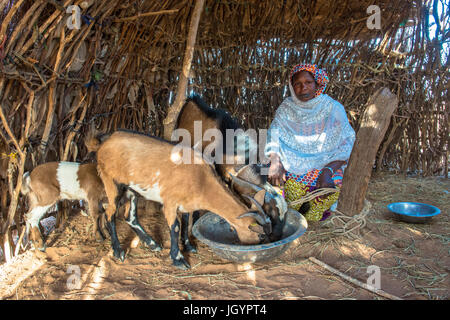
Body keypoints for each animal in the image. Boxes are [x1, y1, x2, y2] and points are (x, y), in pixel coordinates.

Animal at [91, 130, 270, 270]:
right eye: (261, 235)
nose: (261, 244)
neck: (201, 180)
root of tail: (104, 144)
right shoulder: (170, 203)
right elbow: (175, 227)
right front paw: (178, 259)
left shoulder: (187, 205)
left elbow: (185, 223)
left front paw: (189, 246)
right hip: (111, 182)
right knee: (110, 213)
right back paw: (118, 251)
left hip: (132, 190)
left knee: (130, 216)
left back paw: (152, 244)